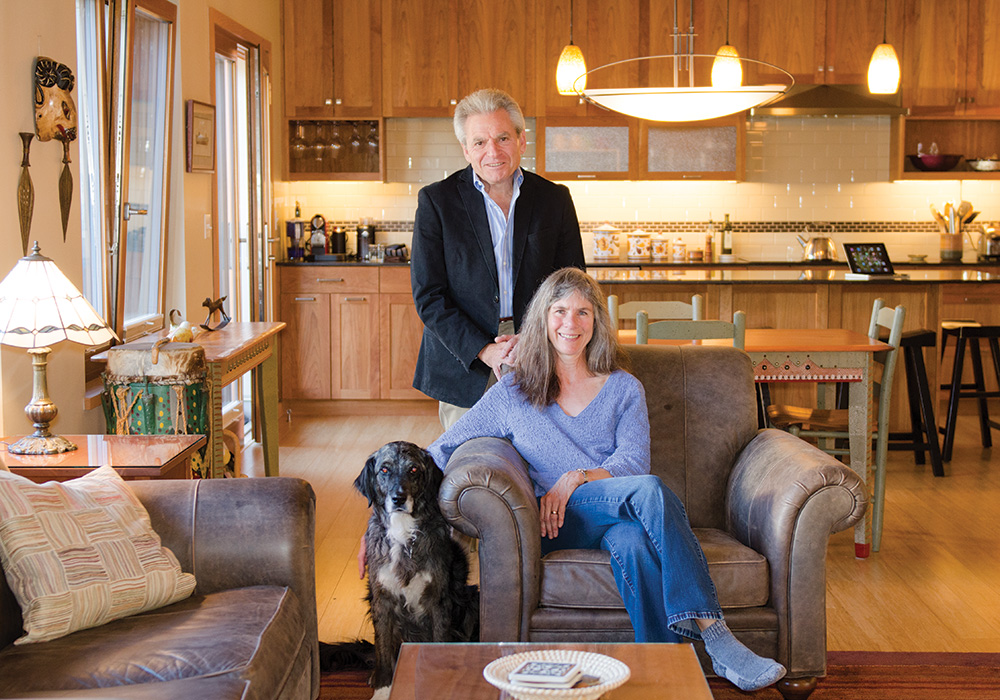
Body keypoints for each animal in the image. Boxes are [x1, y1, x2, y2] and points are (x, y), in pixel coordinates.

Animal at [353, 441, 479, 689]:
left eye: (413, 470)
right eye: (384, 469)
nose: (398, 499)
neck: (403, 531)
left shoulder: (439, 601)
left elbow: (440, 639)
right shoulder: (381, 600)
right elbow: (382, 645)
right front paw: (383, 683)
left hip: (470, 601)